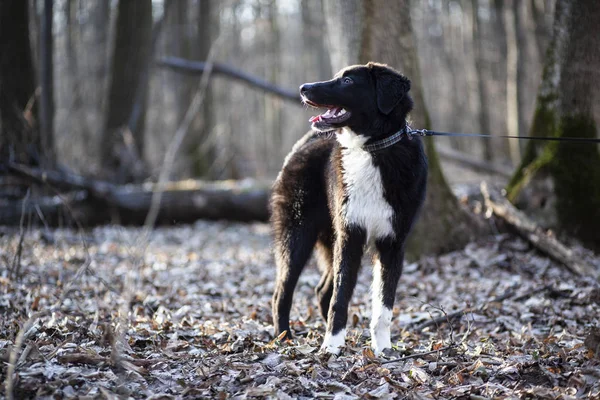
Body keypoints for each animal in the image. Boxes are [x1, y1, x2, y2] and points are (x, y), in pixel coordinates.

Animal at [270, 61, 428, 354]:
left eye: (347, 81)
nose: (304, 88)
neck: (373, 149)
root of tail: (306, 143)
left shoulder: (392, 243)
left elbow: (384, 305)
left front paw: (382, 348)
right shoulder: (350, 236)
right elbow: (340, 298)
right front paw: (331, 346)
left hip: (328, 239)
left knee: (322, 291)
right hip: (298, 235)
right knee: (282, 292)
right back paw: (283, 337)